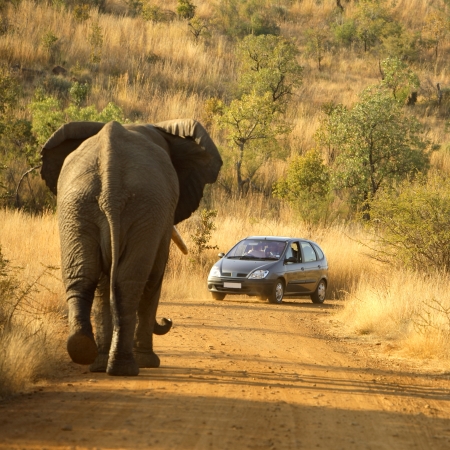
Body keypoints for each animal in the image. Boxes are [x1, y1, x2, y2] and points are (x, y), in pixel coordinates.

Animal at [40, 118, 221, 376]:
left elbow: (105, 283)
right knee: (129, 283)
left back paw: (88, 355)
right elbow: (155, 275)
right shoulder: (161, 216)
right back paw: (126, 367)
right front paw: (148, 362)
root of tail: (111, 181)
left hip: (79, 206)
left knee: (85, 276)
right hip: (130, 205)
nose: (167, 321)